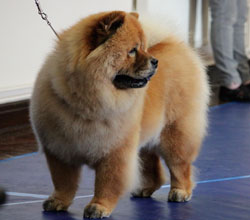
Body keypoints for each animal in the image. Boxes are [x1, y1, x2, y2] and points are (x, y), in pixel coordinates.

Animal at [29, 10, 210, 218]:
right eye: (132, 50)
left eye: (143, 48)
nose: (155, 61)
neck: (85, 100)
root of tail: (175, 44)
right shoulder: (60, 149)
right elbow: (63, 182)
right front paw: (58, 201)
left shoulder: (115, 150)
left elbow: (107, 182)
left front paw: (99, 207)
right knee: (151, 164)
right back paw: (144, 189)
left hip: (175, 133)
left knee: (180, 165)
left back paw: (180, 191)